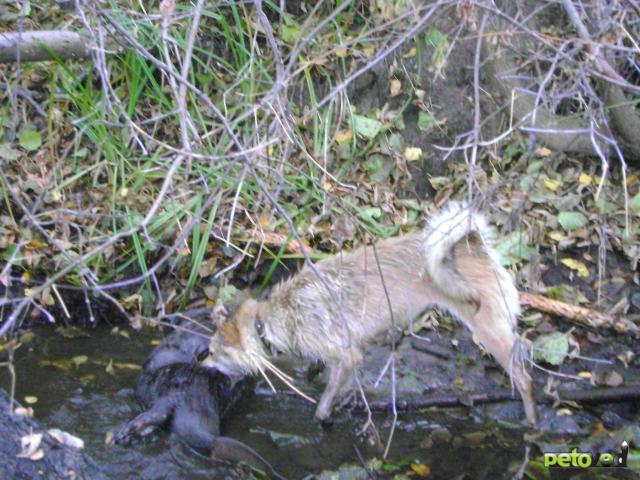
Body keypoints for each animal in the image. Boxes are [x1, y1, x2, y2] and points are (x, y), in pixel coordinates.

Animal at [202, 202, 536, 424]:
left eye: (214, 352)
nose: (202, 366)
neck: (272, 318)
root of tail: (472, 246)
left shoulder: (348, 355)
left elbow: (325, 401)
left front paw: (322, 417)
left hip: (489, 330)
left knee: (524, 377)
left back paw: (531, 423)